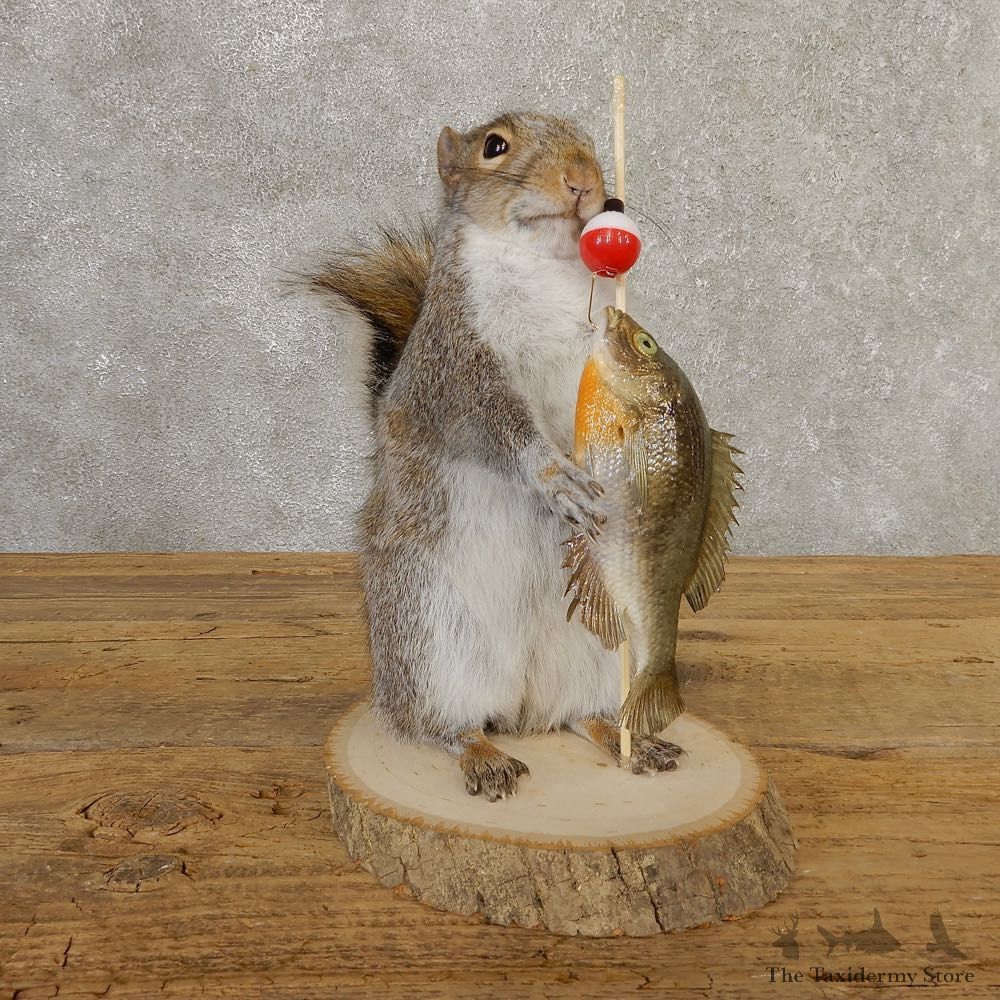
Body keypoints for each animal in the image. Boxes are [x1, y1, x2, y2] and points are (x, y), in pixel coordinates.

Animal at [310, 113, 682, 800]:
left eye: (592, 142)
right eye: (494, 147)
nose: (582, 179)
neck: (545, 269)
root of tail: (521, 707)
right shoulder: (455, 362)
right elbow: (495, 425)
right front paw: (555, 476)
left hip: (604, 646)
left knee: (578, 715)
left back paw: (627, 740)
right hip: (433, 641)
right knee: (445, 724)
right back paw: (482, 755)